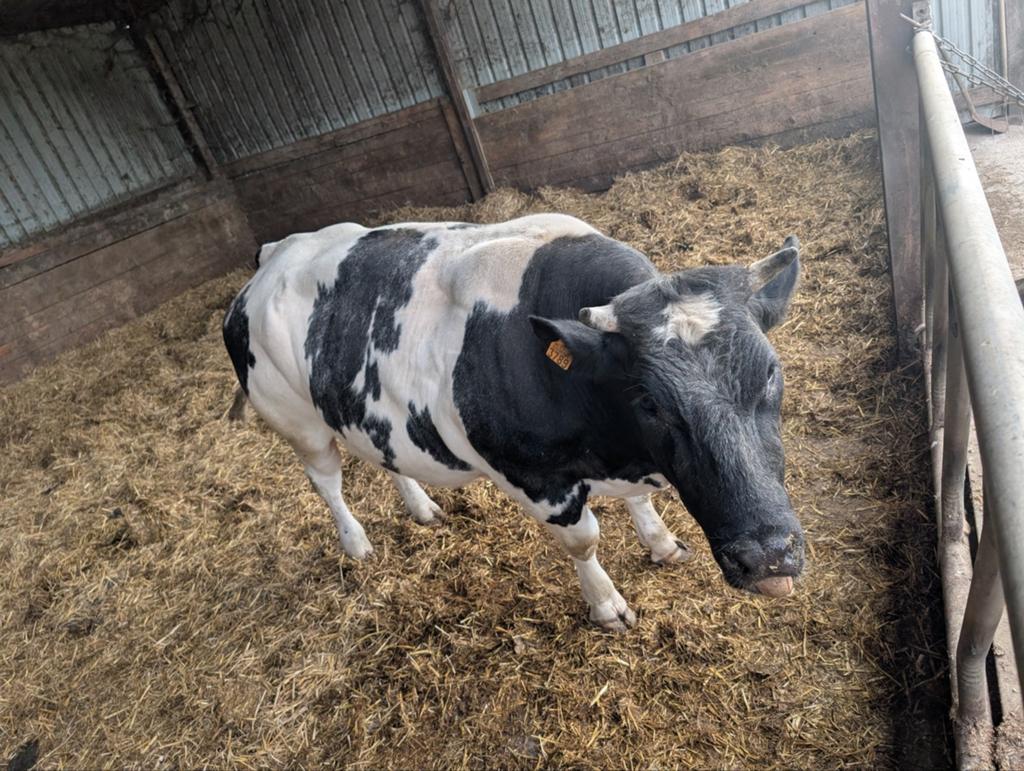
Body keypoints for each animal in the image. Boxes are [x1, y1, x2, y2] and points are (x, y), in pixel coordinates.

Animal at [223, 215, 805, 631]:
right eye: (649, 402)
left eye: (770, 372)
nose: (767, 557)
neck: (615, 446)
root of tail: (275, 255)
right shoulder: (533, 477)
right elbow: (584, 541)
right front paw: (607, 605)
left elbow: (640, 501)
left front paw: (661, 543)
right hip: (298, 423)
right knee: (328, 484)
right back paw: (356, 542)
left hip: (358, 411)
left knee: (384, 459)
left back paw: (422, 508)